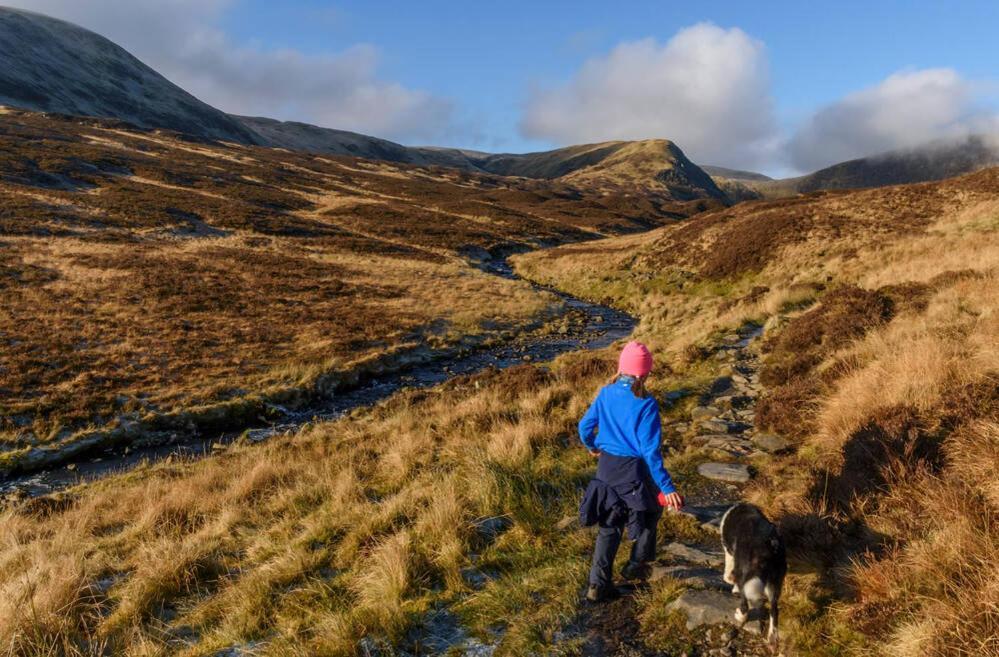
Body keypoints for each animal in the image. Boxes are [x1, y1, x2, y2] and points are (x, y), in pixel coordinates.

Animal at [724, 504, 784, 648]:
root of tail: (770, 543)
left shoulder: (731, 553)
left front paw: (730, 582)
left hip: (746, 573)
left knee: (745, 601)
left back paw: (740, 616)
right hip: (776, 580)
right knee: (774, 609)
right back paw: (772, 637)